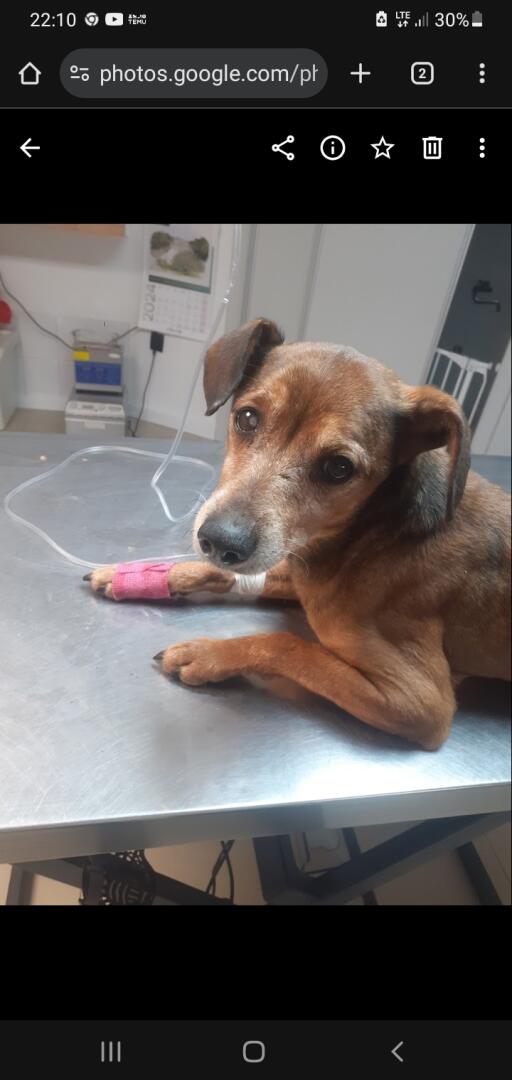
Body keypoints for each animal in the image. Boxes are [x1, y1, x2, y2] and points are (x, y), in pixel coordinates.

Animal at [87, 318, 511, 750]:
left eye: (339, 468)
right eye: (247, 418)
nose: (220, 541)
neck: (369, 532)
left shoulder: (420, 699)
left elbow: (286, 645)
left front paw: (208, 655)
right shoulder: (303, 580)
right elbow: (221, 573)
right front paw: (138, 575)